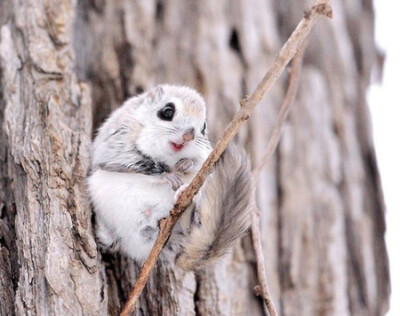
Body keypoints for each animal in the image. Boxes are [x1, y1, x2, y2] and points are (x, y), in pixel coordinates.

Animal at [89, 85, 255, 270]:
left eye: (204, 127)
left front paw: (186, 163)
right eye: (167, 112)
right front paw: (169, 176)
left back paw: (186, 194)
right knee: (110, 239)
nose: (189, 136)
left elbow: (199, 162)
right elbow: (138, 165)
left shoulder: (205, 154)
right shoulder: (118, 146)